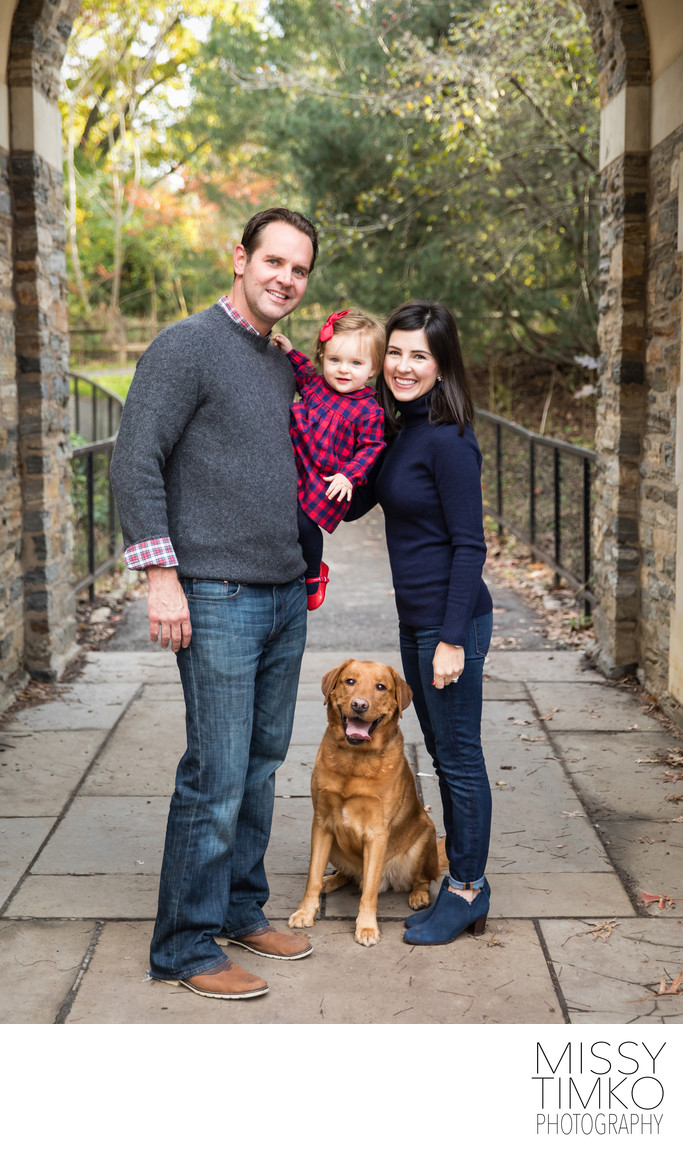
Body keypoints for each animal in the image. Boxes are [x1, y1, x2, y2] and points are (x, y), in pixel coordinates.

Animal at [286, 661, 436, 946]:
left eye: (381, 687)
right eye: (350, 681)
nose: (359, 705)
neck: (354, 760)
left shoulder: (377, 834)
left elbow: (370, 889)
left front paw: (366, 927)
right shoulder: (321, 824)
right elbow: (312, 877)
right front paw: (305, 912)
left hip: (425, 834)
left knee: (420, 879)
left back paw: (419, 895)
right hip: (334, 843)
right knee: (349, 875)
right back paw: (330, 880)